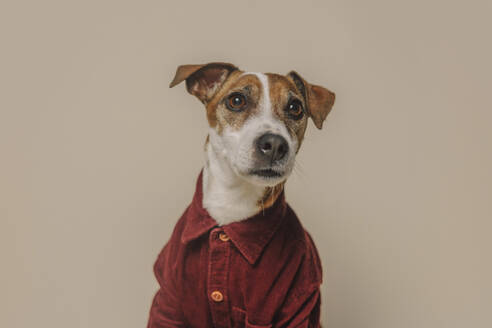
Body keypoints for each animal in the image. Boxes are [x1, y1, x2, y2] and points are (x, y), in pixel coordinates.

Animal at [148, 62, 336, 328]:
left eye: (295, 108)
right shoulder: (169, 300)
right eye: (236, 100)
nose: (275, 144)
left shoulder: (298, 304)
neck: (233, 200)